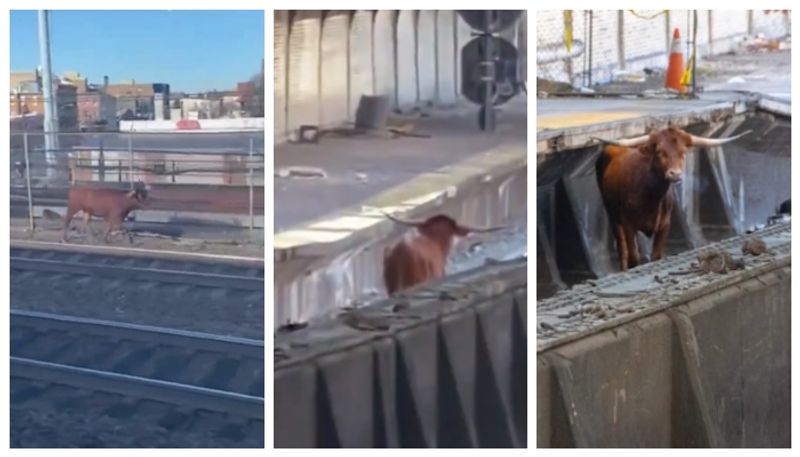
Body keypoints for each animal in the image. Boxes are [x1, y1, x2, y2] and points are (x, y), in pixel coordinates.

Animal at [592, 126, 752, 268]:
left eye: (683, 152)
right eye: (660, 152)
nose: (675, 174)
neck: (650, 198)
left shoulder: (665, 224)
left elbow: (656, 256)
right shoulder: (628, 224)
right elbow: (633, 258)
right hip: (613, 217)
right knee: (622, 250)